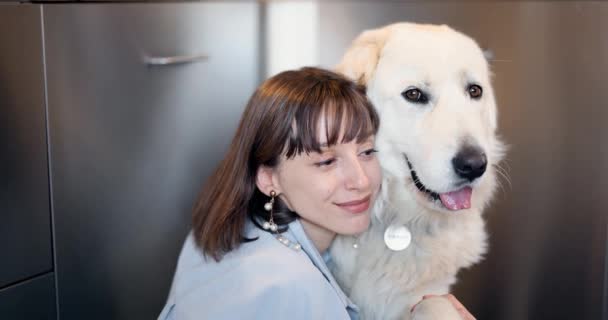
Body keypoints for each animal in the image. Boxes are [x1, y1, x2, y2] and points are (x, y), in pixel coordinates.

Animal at [330, 23, 506, 320]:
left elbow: (433, 304)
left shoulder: (428, 293)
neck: (393, 217)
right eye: (413, 94)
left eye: (474, 91)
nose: (474, 165)